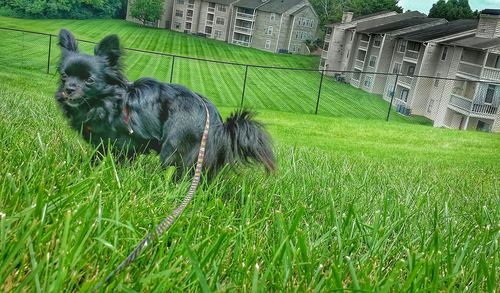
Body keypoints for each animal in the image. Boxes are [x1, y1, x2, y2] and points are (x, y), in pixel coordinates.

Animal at [56, 29, 276, 176]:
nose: (68, 89)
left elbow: (110, 157)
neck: (107, 101)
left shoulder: (121, 143)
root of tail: (218, 125)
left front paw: (99, 171)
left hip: (174, 146)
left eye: (89, 80)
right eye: (64, 76)